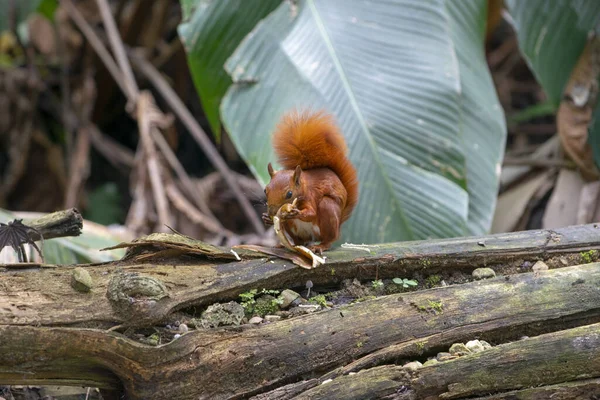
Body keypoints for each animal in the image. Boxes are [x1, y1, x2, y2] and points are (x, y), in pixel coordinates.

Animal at [262, 109, 356, 253]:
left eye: (289, 194)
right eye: (265, 190)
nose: (272, 212)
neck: (304, 187)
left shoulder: (310, 196)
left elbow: (311, 213)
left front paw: (295, 212)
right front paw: (267, 219)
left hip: (328, 209)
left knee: (329, 239)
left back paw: (320, 246)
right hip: (294, 229)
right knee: (299, 241)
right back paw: (285, 245)